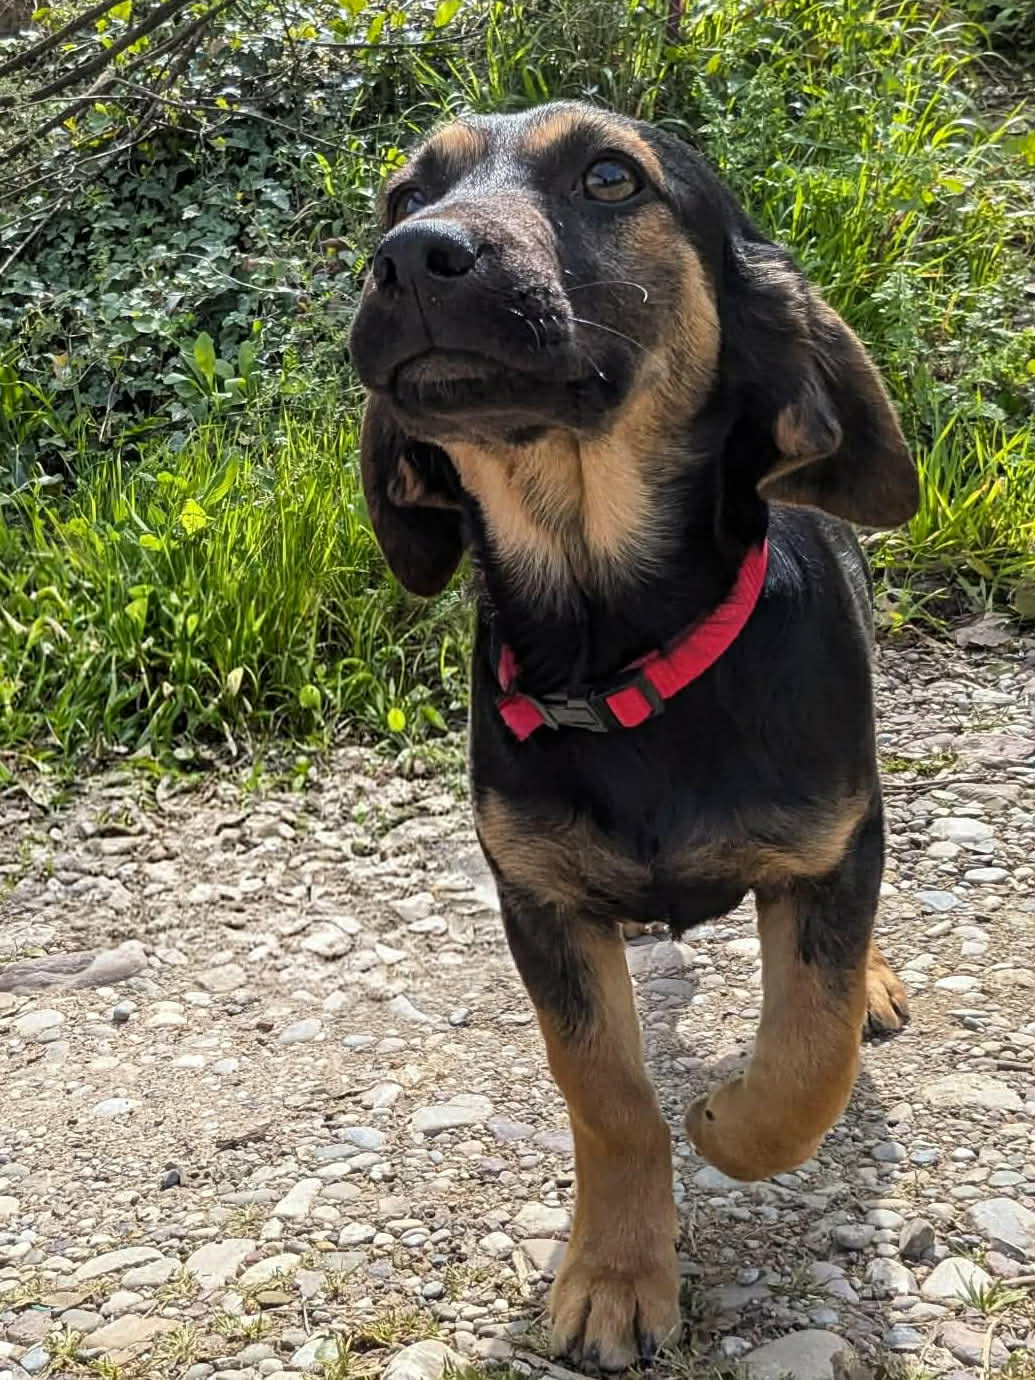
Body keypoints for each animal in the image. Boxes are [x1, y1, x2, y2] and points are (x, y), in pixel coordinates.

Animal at [348, 101, 917, 1371]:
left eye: (611, 178)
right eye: (403, 193)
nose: (411, 256)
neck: (614, 644)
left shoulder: (827, 848)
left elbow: (806, 1055)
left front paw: (726, 1118)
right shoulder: (539, 902)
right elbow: (605, 1095)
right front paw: (615, 1273)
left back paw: (871, 979)